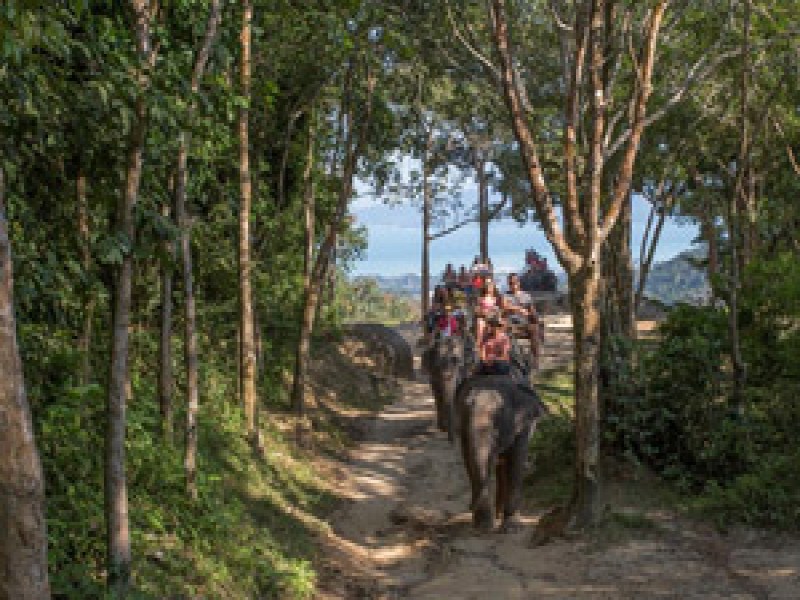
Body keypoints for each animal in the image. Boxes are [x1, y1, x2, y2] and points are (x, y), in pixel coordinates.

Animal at [456, 373, 549, 532]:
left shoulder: (525, 426)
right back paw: (496, 515)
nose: (469, 507)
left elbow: (516, 462)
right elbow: (469, 461)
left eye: (497, 417)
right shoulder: (463, 432)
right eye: (464, 412)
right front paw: (482, 527)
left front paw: (512, 528)